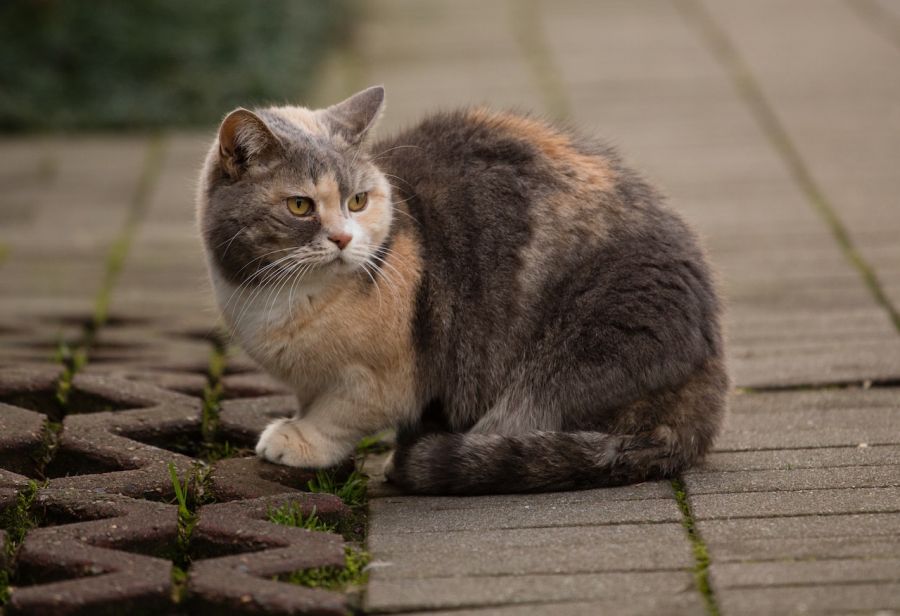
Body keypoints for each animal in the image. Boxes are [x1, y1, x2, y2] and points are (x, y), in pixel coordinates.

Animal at [199, 85, 732, 496]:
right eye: (300, 206)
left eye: (358, 200)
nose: (344, 239)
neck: (277, 299)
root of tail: (709, 368)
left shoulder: (386, 378)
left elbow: (340, 412)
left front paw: (299, 439)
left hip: (563, 364)